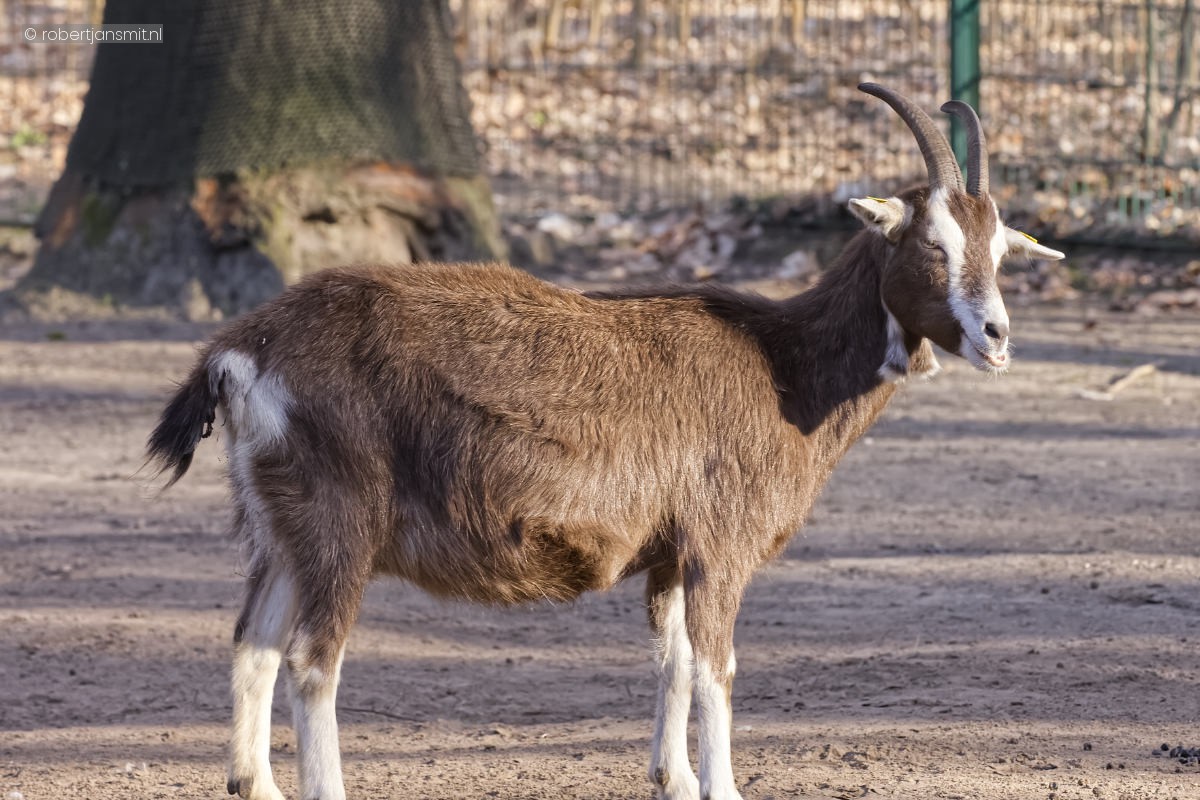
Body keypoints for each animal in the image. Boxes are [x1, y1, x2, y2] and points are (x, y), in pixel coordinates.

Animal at [147, 84, 1064, 800]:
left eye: (1000, 249)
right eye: (932, 242)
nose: (996, 336)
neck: (780, 362)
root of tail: (241, 348)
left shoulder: (667, 553)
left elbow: (671, 659)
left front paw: (675, 779)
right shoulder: (718, 547)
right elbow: (716, 668)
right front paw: (722, 785)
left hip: (279, 525)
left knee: (254, 642)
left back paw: (255, 783)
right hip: (340, 520)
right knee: (312, 660)